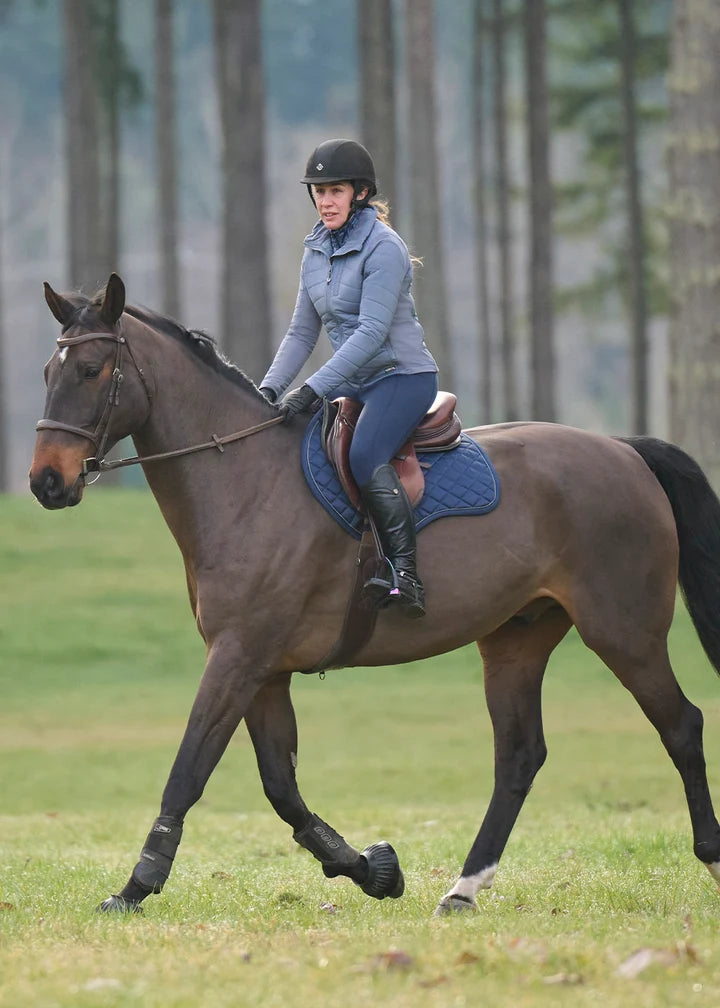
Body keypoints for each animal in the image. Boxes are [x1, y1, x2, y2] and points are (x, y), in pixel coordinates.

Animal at [29, 272, 720, 917]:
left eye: (91, 370)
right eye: (47, 371)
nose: (45, 482)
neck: (247, 483)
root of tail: (624, 450)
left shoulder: (239, 656)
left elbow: (189, 769)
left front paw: (135, 887)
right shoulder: (263, 669)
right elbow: (281, 787)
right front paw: (371, 870)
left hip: (624, 633)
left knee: (681, 726)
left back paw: (710, 857)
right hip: (516, 640)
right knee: (520, 756)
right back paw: (463, 889)